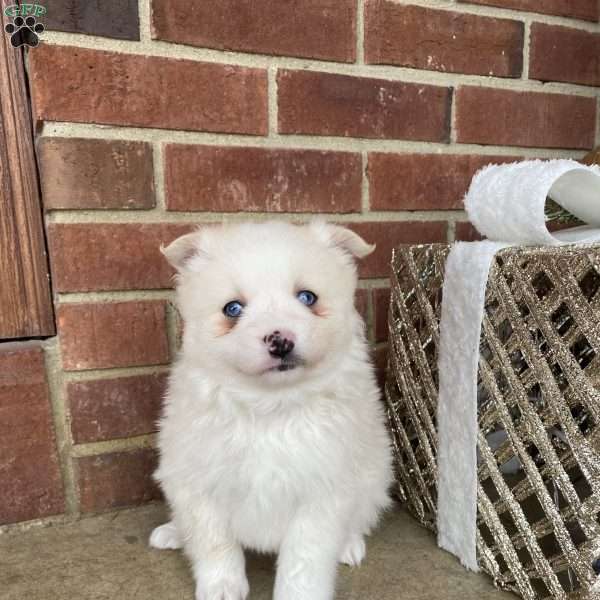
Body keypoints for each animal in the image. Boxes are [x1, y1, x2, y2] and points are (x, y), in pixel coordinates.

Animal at [150, 221, 394, 600]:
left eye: (307, 298)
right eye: (232, 309)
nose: (280, 341)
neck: (271, 406)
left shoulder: (322, 492)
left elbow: (303, 560)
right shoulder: (200, 485)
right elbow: (215, 544)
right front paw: (222, 587)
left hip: (375, 477)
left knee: (360, 518)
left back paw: (349, 544)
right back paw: (174, 531)